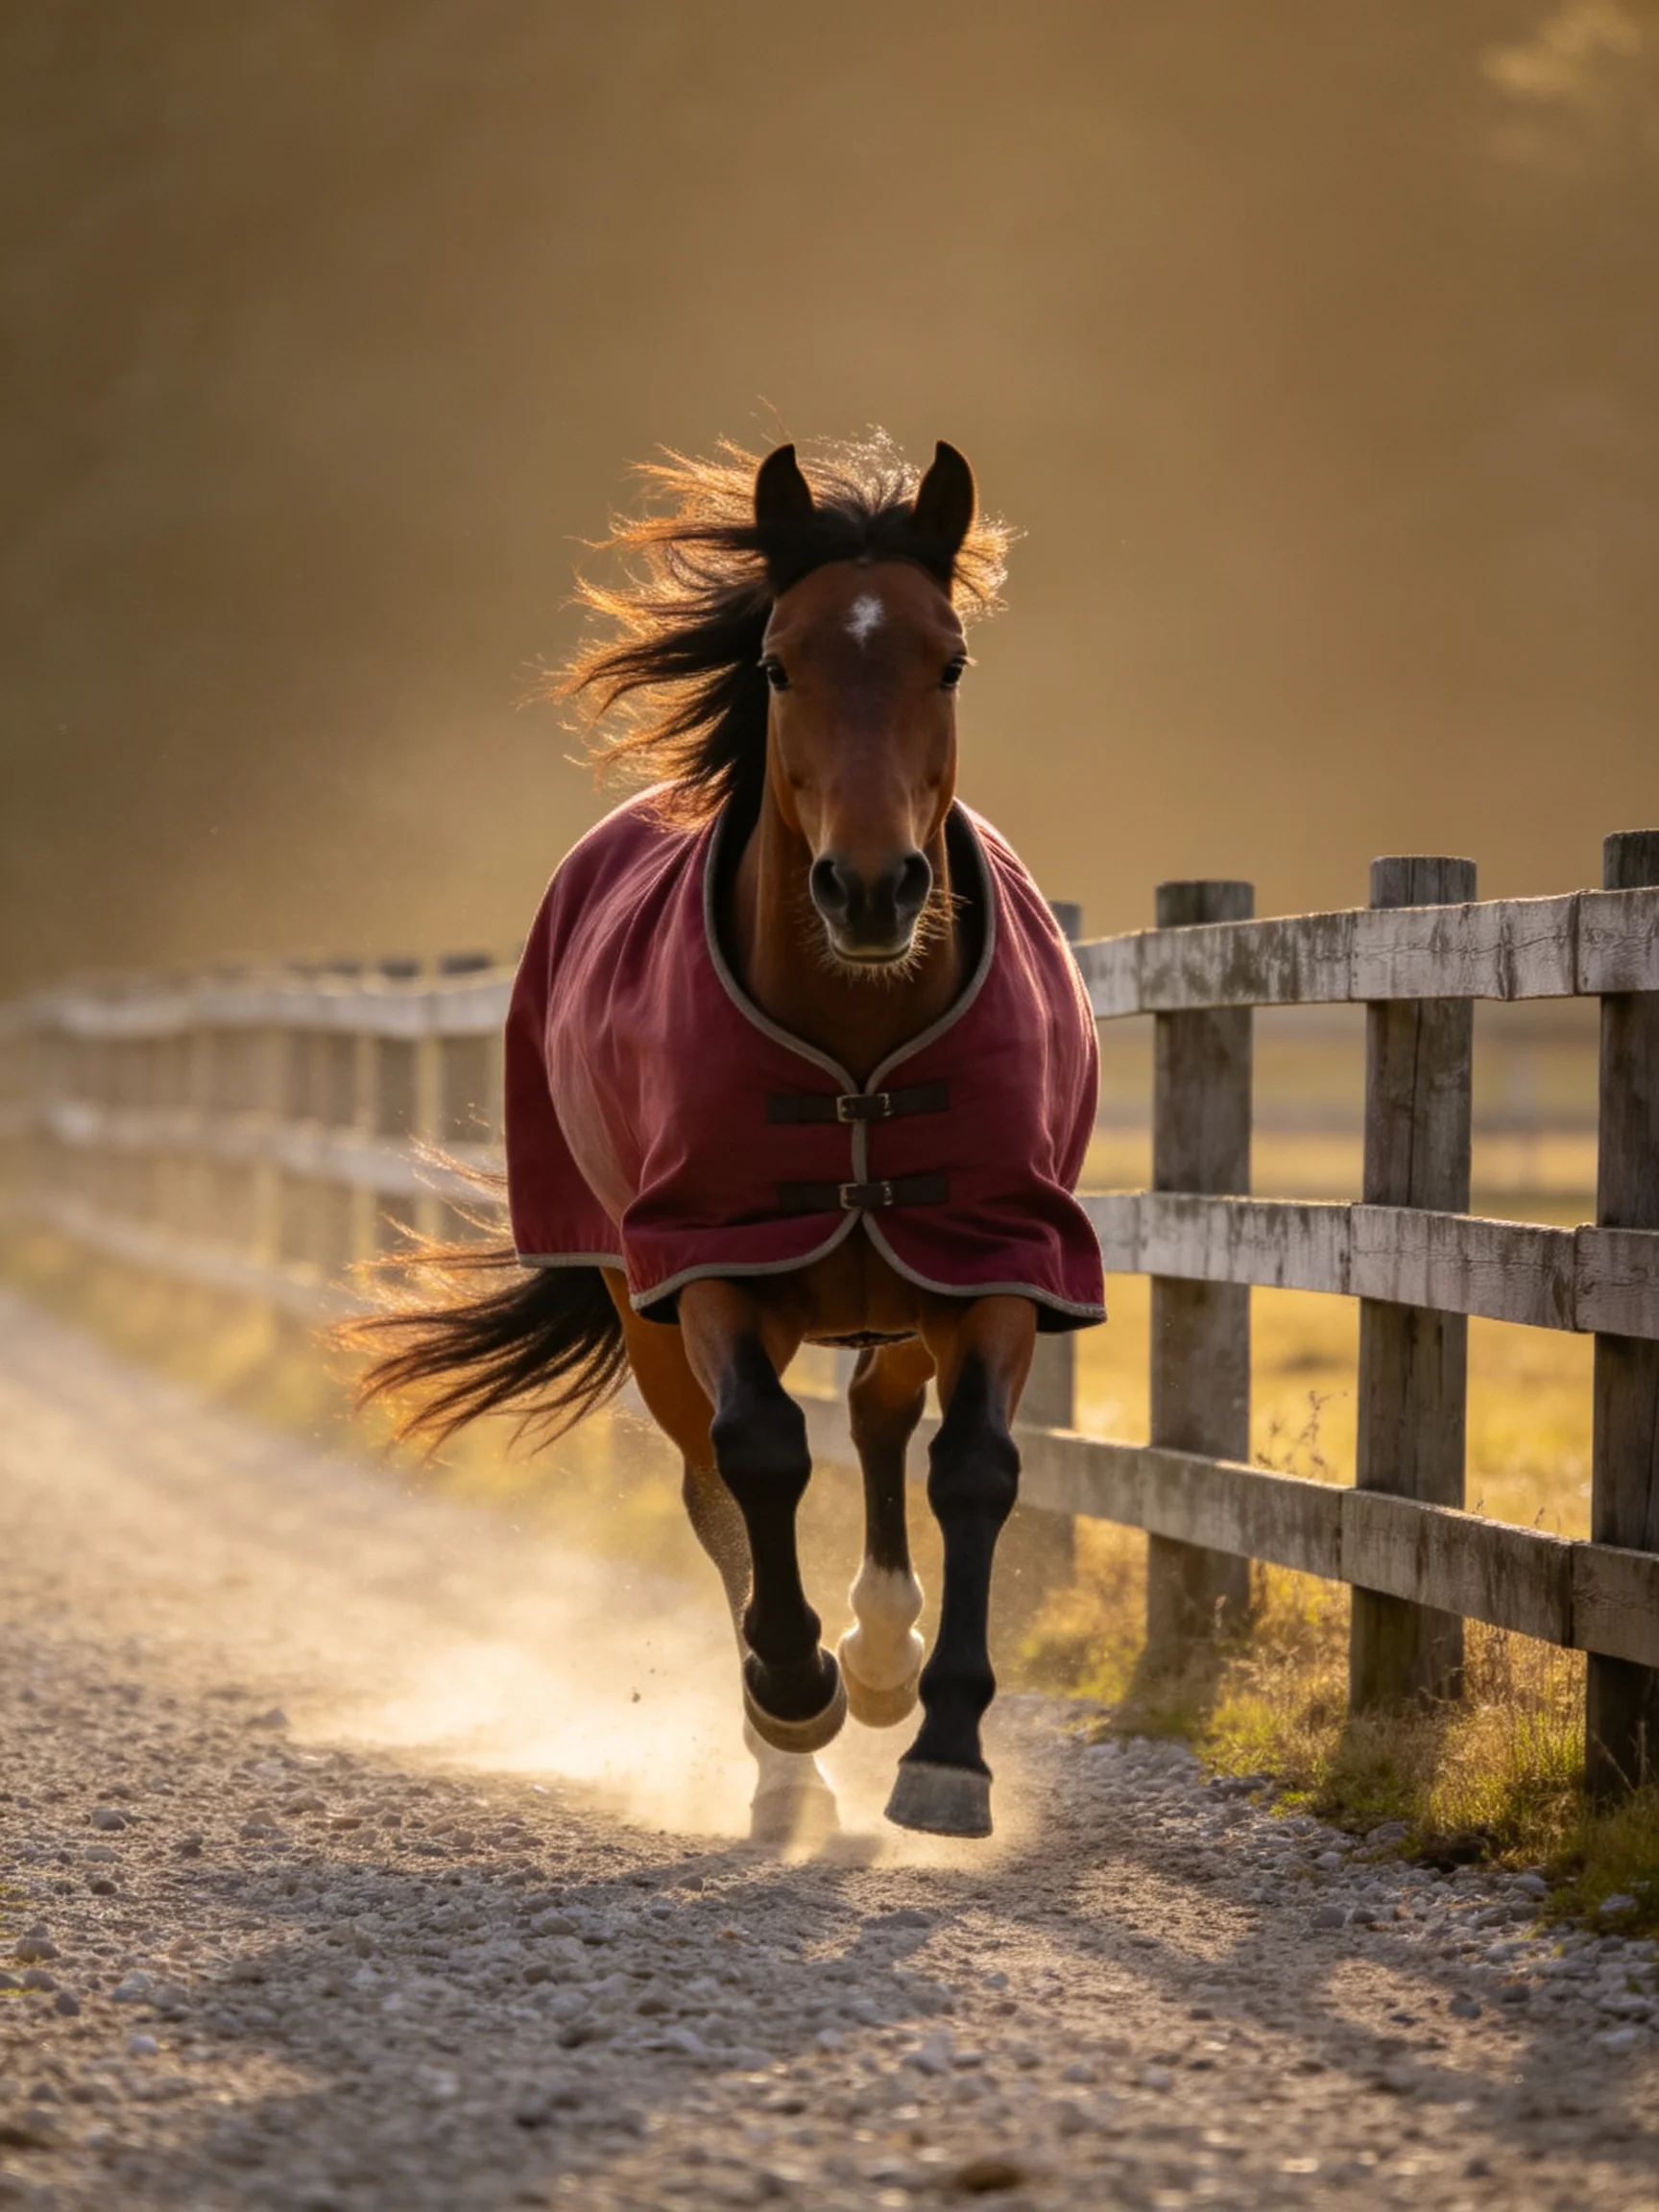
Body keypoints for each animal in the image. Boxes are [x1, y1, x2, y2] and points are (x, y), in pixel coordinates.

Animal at [347, 436, 1105, 1842]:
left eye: (950, 660)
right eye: (779, 663)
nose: (872, 890)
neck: (855, 1052)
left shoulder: (993, 1255)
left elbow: (973, 1471)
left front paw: (947, 1751)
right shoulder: (705, 1262)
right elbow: (759, 1458)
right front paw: (793, 1694)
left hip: (895, 1289)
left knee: (876, 1418)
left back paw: (882, 1651)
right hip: (641, 1303)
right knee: (717, 1485)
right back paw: (792, 1749)